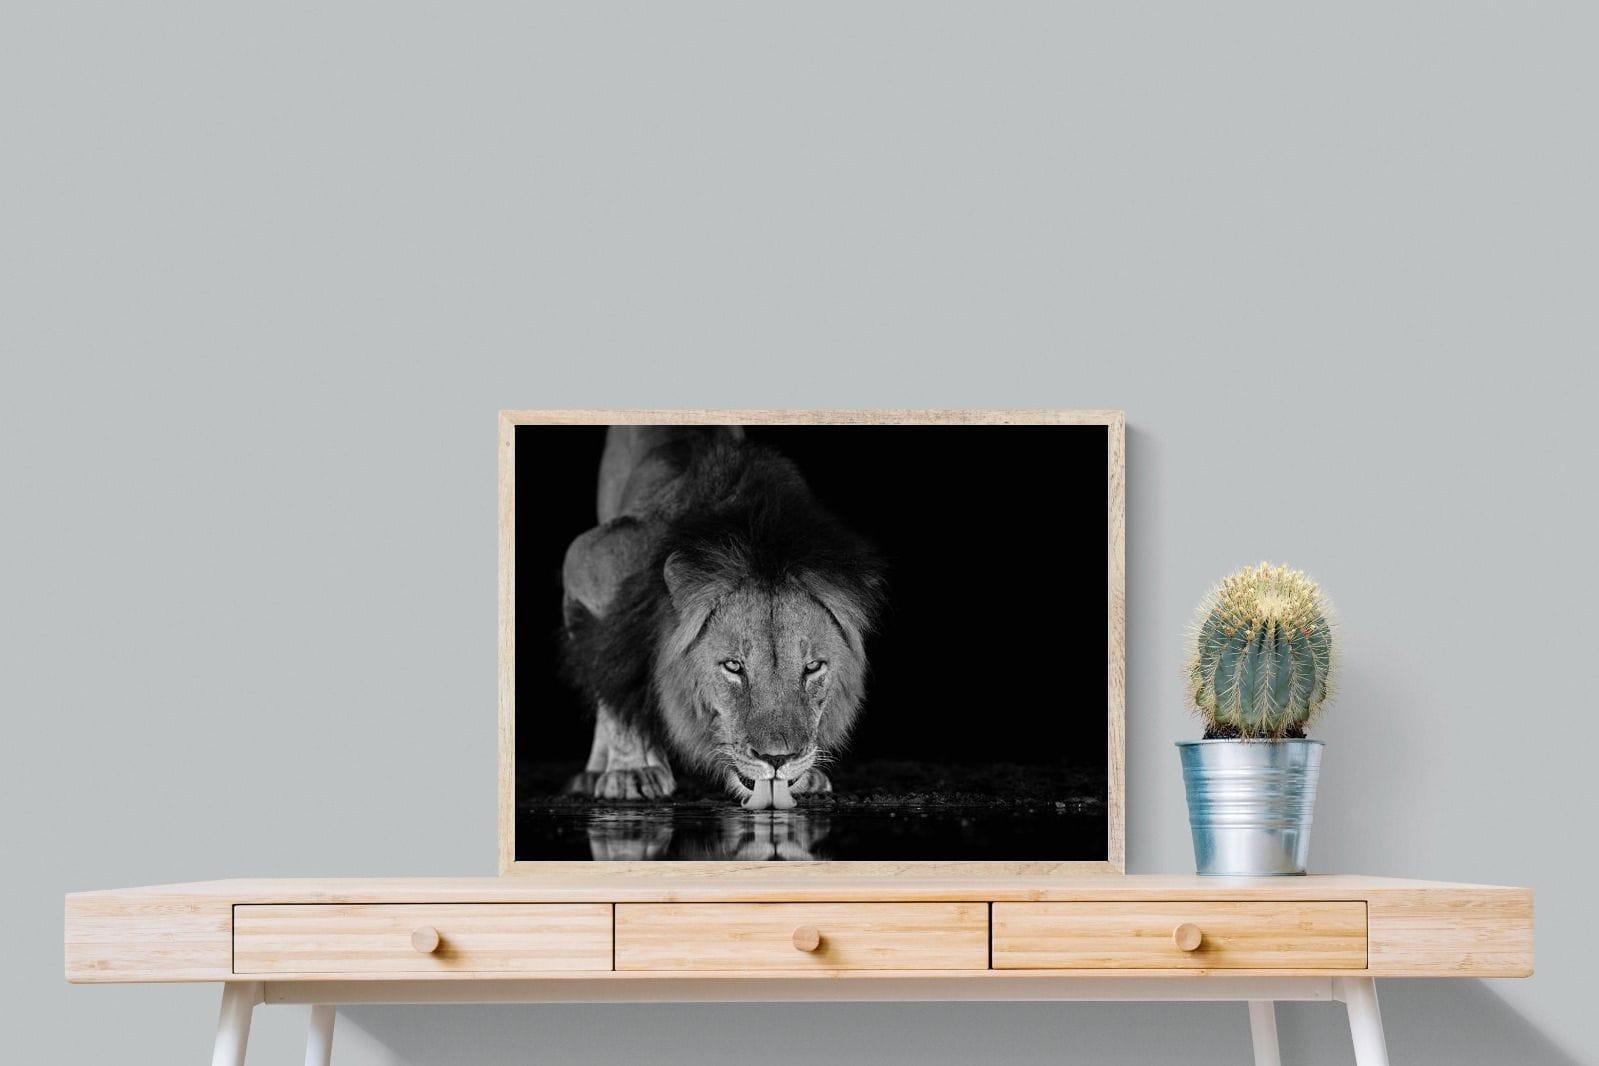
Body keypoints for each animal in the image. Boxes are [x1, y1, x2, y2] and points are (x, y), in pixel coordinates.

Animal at [559, 426, 886, 809]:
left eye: (813, 667)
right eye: (733, 667)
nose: (777, 759)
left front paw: (807, 777)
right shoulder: (589, 561)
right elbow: (613, 675)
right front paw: (631, 772)